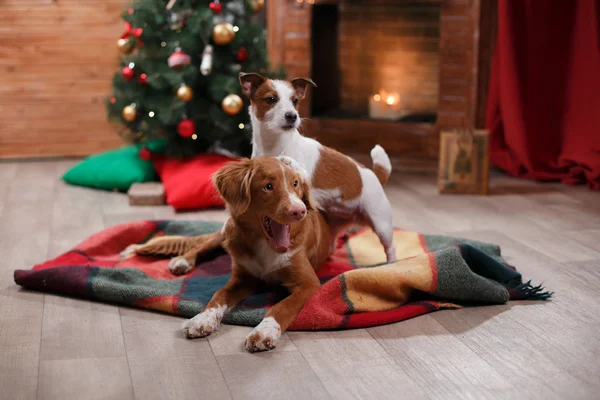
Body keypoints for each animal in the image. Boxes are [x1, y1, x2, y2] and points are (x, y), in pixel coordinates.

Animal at [178, 156, 330, 350]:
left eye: (295, 183)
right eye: (268, 186)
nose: (299, 211)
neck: (264, 245)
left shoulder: (308, 284)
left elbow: (283, 305)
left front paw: (264, 331)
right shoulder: (243, 279)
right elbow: (219, 293)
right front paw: (203, 318)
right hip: (226, 231)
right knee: (204, 244)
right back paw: (182, 261)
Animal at [239, 72, 398, 262]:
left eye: (295, 101)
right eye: (271, 99)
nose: (292, 116)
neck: (275, 143)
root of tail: (376, 176)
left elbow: (297, 168)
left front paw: (289, 161)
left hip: (381, 223)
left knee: (390, 247)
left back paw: (391, 263)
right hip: (335, 222)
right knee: (332, 240)